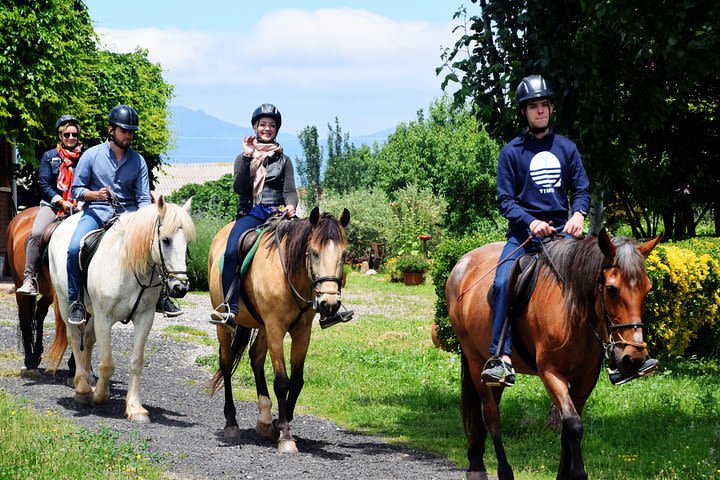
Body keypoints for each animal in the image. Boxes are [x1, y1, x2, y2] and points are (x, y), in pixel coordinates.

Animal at [46, 197, 195, 422]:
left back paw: (88, 380)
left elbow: (136, 362)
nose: (180, 288)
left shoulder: (144, 318)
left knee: (87, 339)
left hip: (92, 312)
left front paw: (135, 408)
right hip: (66, 303)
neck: (128, 266)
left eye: (187, 242)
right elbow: (107, 363)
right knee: (74, 337)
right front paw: (99, 396)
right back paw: (82, 388)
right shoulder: (104, 317)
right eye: (166, 240)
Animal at [207, 207, 350, 454]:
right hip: (225, 325)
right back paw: (231, 422)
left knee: (255, 357)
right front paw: (285, 435)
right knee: (226, 362)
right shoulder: (275, 328)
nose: (329, 304)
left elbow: (297, 381)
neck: (289, 276)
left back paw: (264, 418)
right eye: (314, 253)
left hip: (262, 327)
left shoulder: (302, 332)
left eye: (343, 255)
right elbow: (282, 382)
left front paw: (276, 424)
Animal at [448, 229, 660, 480]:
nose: (634, 357)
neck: (573, 313)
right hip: (474, 359)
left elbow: (568, 430)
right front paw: (578, 473)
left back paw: (476, 463)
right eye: (611, 289)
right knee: (491, 416)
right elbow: (574, 425)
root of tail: (463, 263)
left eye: (647, 289)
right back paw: (501, 470)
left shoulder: (584, 380)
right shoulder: (551, 373)